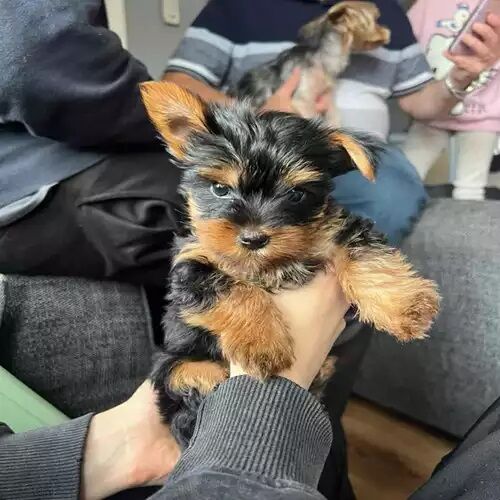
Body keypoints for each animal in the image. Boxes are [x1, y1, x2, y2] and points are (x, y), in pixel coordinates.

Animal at [139, 80, 440, 448]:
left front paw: (405, 307)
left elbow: (364, 252)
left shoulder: (334, 230)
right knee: (187, 380)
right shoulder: (192, 265)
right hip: (172, 363)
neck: (273, 265)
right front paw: (262, 341)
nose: (253, 238)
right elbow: (228, 286)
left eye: (296, 194)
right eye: (220, 189)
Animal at [230, 0, 390, 125]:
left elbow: (334, 119)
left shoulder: (326, 98)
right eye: (375, 20)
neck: (321, 58)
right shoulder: (301, 101)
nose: (388, 32)